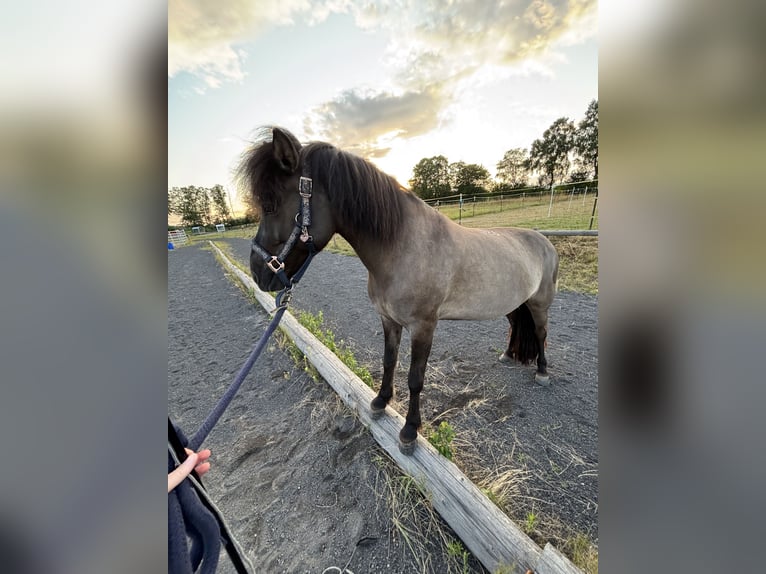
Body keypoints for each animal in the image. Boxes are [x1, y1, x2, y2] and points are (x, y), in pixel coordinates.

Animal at [237, 127, 559, 453]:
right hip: (514, 304)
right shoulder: (389, 320)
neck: (402, 246)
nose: (257, 273)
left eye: (270, 205)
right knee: (515, 325)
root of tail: (544, 241)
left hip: (539, 304)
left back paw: (543, 372)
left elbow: (416, 378)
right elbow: (389, 361)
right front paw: (380, 401)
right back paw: (507, 355)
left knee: (541, 334)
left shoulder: (423, 327)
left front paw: (410, 430)